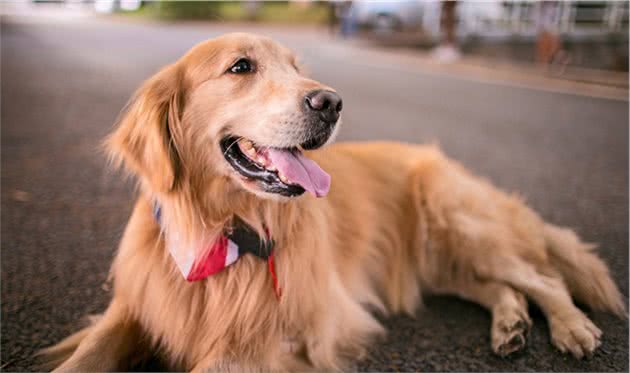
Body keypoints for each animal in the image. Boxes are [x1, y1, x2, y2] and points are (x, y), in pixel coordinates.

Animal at [44, 33, 628, 370]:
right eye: (240, 67)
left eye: (295, 66)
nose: (331, 102)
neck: (224, 230)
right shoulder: (137, 306)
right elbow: (87, 356)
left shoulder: (297, 333)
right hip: (438, 260)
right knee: (499, 286)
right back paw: (510, 326)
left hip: (460, 224)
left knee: (542, 278)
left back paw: (571, 327)